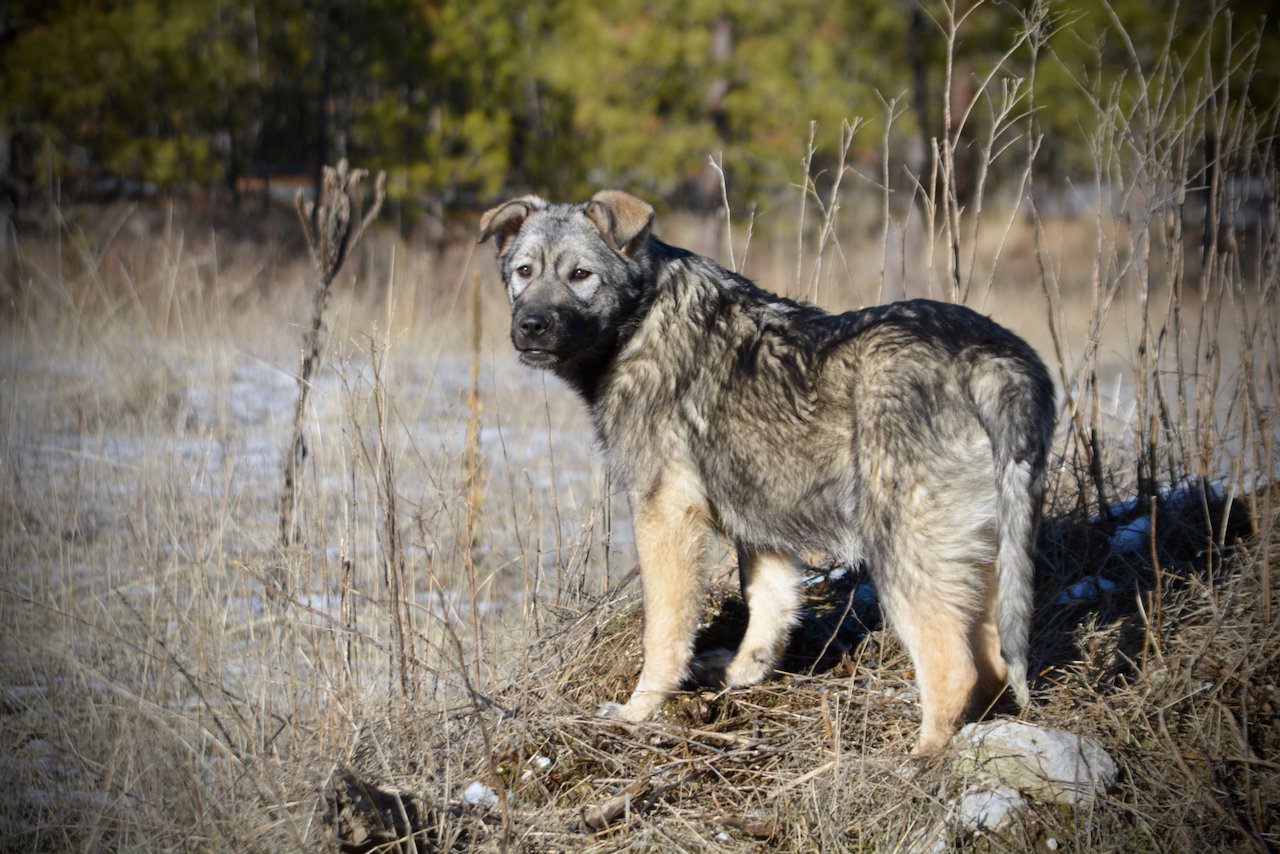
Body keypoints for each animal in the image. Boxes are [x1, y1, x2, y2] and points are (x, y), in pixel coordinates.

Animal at [476, 190, 1054, 752]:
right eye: (524, 271)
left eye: (580, 275)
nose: (530, 327)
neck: (640, 321)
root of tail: (990, 357)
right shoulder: (762, 524)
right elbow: (769, 610)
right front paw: (739, 675)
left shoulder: (664, 515)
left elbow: (663, 630)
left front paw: (640, 712)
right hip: (980, 552)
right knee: (992, 660)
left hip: (901, 550)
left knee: (953, 667)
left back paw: (919, 761)